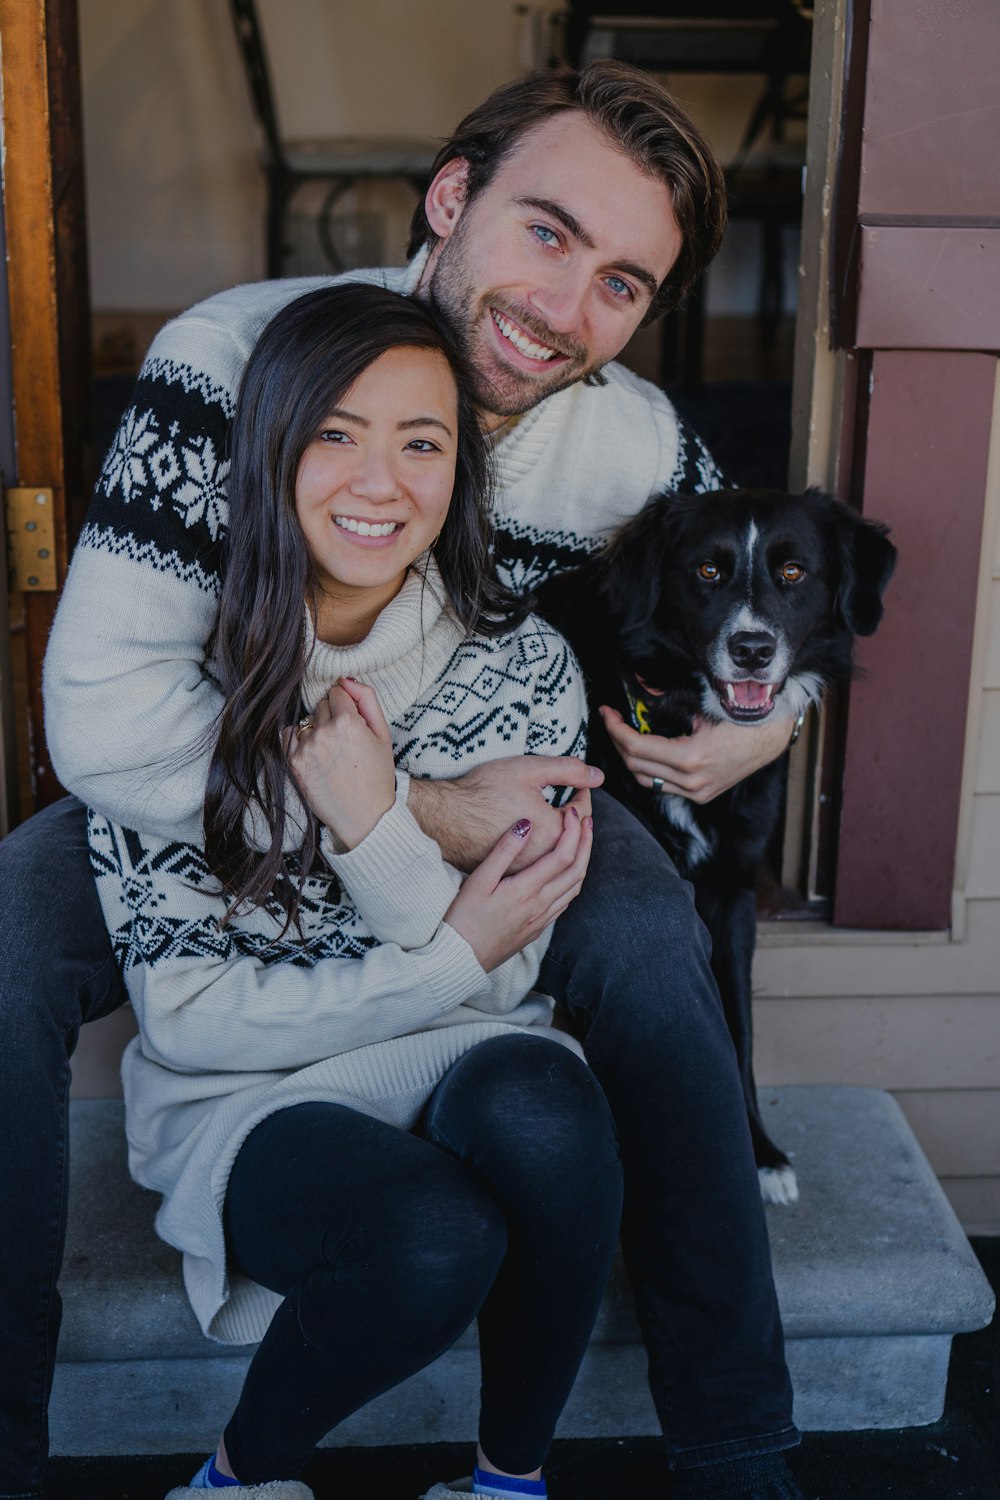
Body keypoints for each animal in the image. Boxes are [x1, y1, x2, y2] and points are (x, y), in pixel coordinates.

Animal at [539, 492, 899, 1206]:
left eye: (793, 573)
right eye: (707, 571)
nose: (752, 649)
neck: (681, 714)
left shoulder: (732, 894)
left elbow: (739, 1030)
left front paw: (761, 1154)